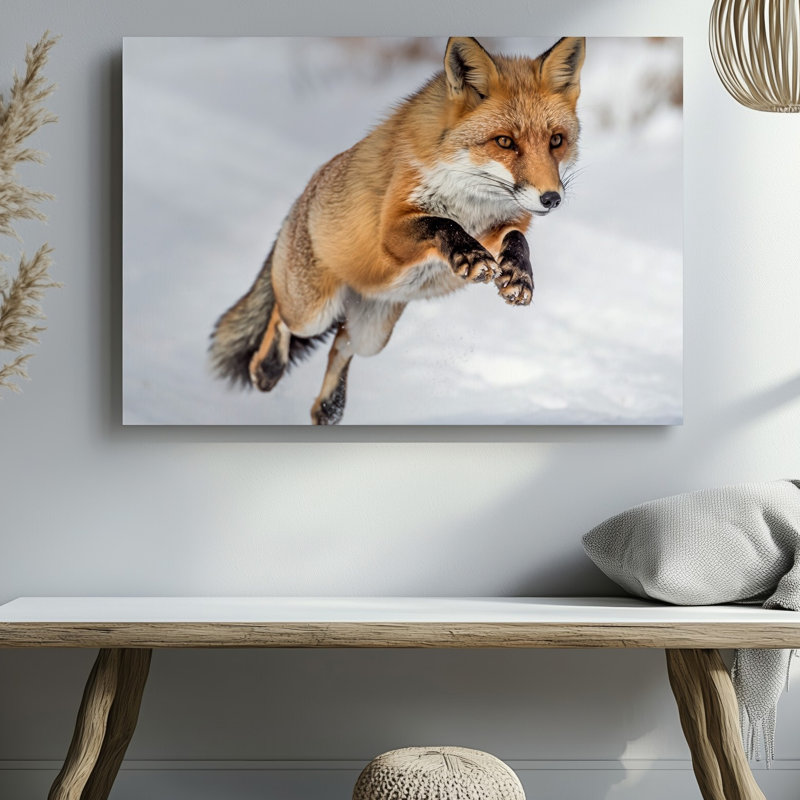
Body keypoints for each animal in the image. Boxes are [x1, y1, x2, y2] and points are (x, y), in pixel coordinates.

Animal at [210, 36, 586, 424]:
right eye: (505, 142)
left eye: (556, 141)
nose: (551, 198)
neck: (470, 199)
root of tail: (301, 200)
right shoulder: (390, 234)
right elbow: (441, 223)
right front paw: (468, 255)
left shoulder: (498, 225)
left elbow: (517, 239)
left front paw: (519, 275)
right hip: (311, 312)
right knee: (279, 318)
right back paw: (266, 369)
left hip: (371, 335)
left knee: (340, 344)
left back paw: (328, 408)